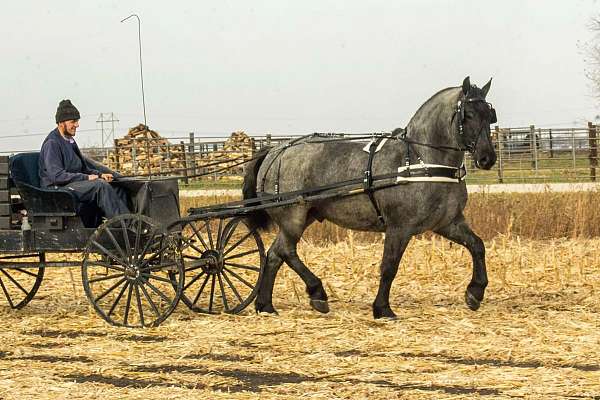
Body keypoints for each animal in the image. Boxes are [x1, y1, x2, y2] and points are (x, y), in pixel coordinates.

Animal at [241, 76, 494, 318]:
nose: (487, 158)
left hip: (303, 217)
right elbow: (389, 266)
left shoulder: (447, 223)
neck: (422, 160)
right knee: (286, 251)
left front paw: (475, 291)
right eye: (468, 115)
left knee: (274, 255)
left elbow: (477, 245)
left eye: (490, 116)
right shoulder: (399, 227)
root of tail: (276, 150)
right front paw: (382, 308)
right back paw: (317, 292)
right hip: (293, 217)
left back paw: (265, 305)